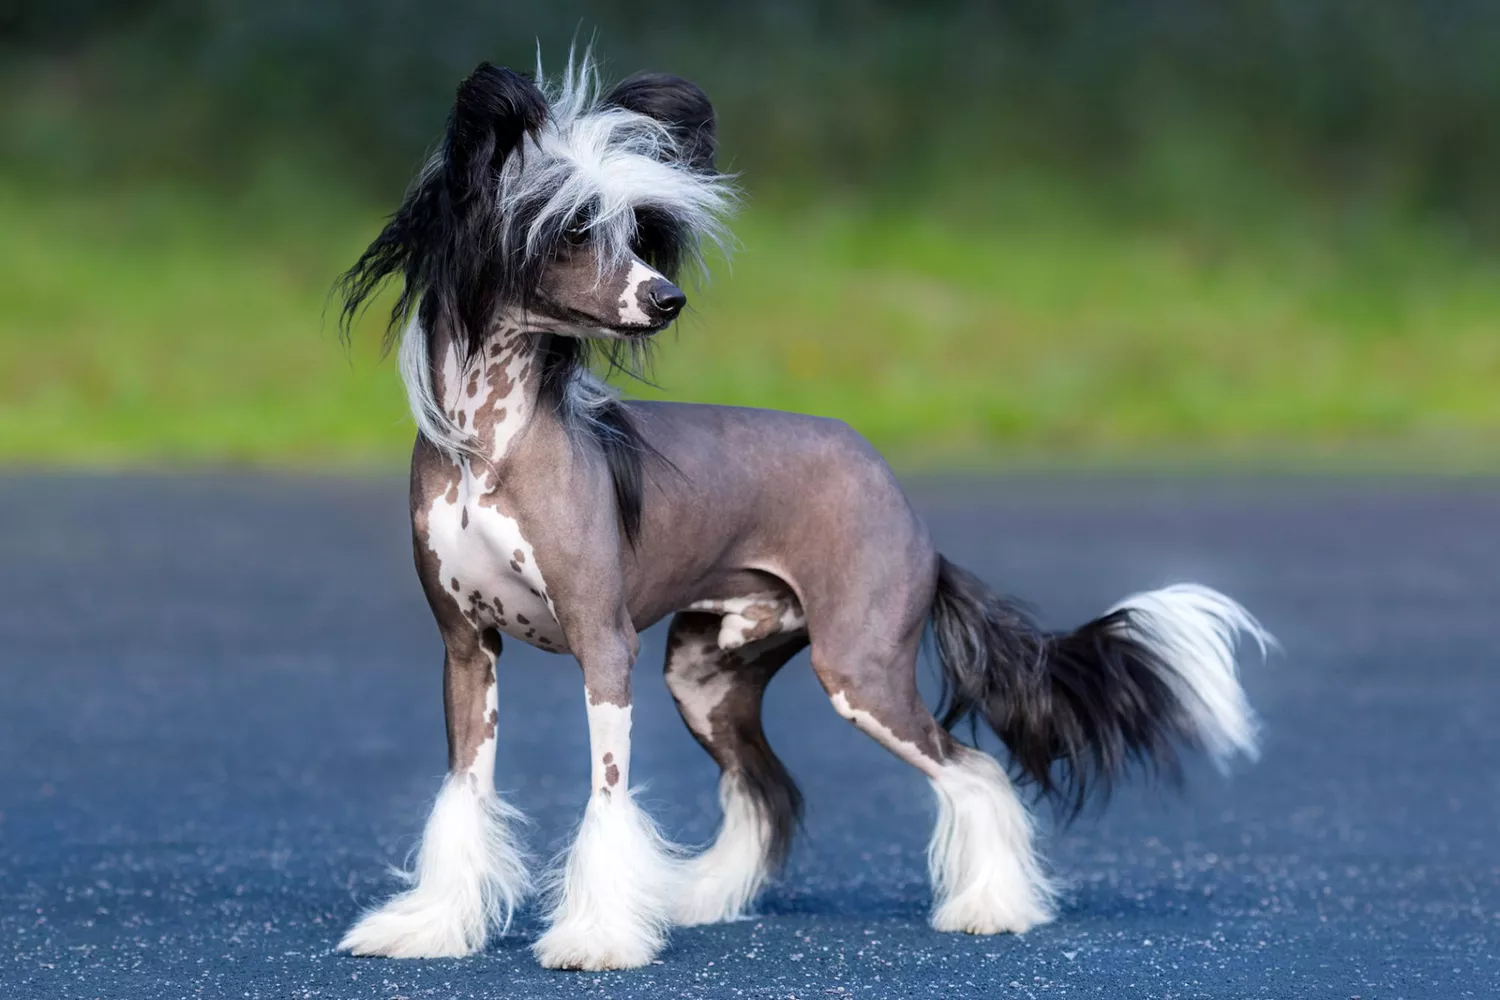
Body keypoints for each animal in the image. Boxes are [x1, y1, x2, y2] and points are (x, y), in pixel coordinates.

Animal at [334, 52, 1272, 971]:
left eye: (637, 232)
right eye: (571, 231)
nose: (666, 298)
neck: (488, 447)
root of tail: (907, 510)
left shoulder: (603, 645)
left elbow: (607, 799)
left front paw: (596, 938)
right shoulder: (467, 648)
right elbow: (464, 794)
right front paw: (430, 927)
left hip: (860, 666)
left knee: (973, 771)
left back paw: (991, 909)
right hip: (708, 673)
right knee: (765, 787)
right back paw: (704, 899)